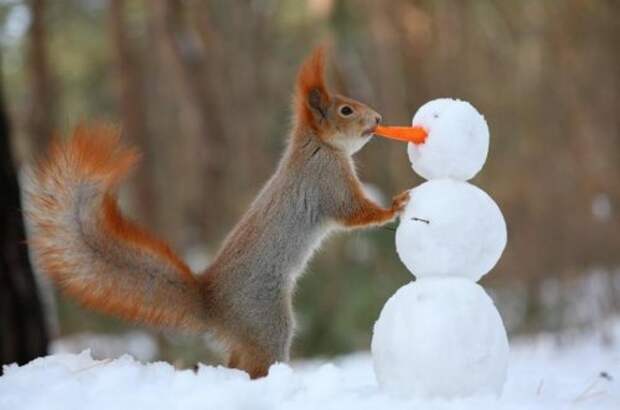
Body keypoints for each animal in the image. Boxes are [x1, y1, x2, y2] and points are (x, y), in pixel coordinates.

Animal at [25, 47, 412, 378]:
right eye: (346, 110)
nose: (378, 118)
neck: (317, 145)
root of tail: (211, 302)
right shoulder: (327, 182)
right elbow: (354, 214)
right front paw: (394, 206)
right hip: (266, 321)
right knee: (254, 364)